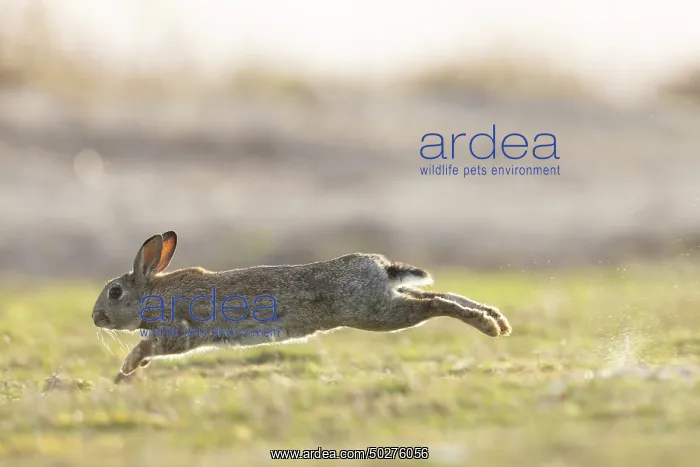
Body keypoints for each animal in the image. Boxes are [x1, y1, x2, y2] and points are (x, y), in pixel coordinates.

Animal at [91, 231, 512, 383]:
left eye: (114, 292)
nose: (95, 318)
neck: (153, 293)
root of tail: (379, 265)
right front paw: (130, 371)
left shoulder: (179, 332)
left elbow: (150, 345)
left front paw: (127, 367)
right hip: (385, 302)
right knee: (439, 295)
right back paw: (498, 321)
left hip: (374, 314)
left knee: (435, 303)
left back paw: (487, 326)